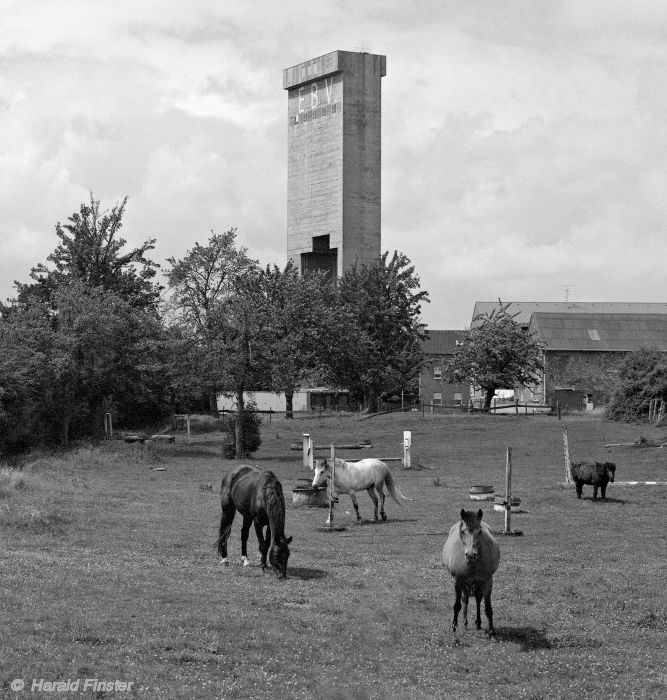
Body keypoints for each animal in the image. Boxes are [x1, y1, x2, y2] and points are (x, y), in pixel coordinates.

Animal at [444, 508, 500, 636]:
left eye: (480, 531)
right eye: (463, 531)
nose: (470, 555)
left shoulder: (488, 581)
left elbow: (488, 607)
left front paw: (491, 630)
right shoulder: (458, 581)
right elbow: (457, 605)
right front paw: (454, 627)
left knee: (478, 599)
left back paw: (478, 623)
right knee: (465, 600)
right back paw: (465, 623)